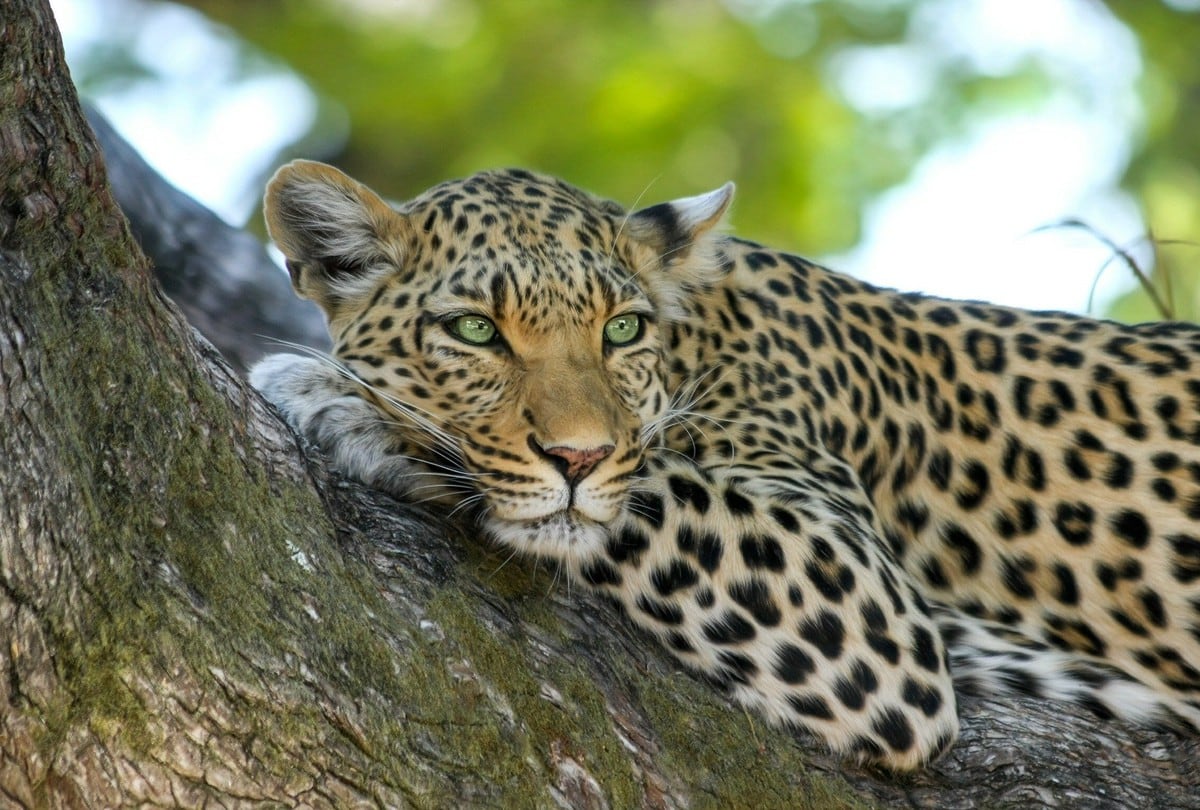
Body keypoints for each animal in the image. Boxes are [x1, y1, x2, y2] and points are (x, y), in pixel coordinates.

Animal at [248, 159, 1200, 772]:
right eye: (476, 330)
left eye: (621, 329)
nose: (578, 455)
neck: (701, 341)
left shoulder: (866, 603)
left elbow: (645, 491)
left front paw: (344, 400)